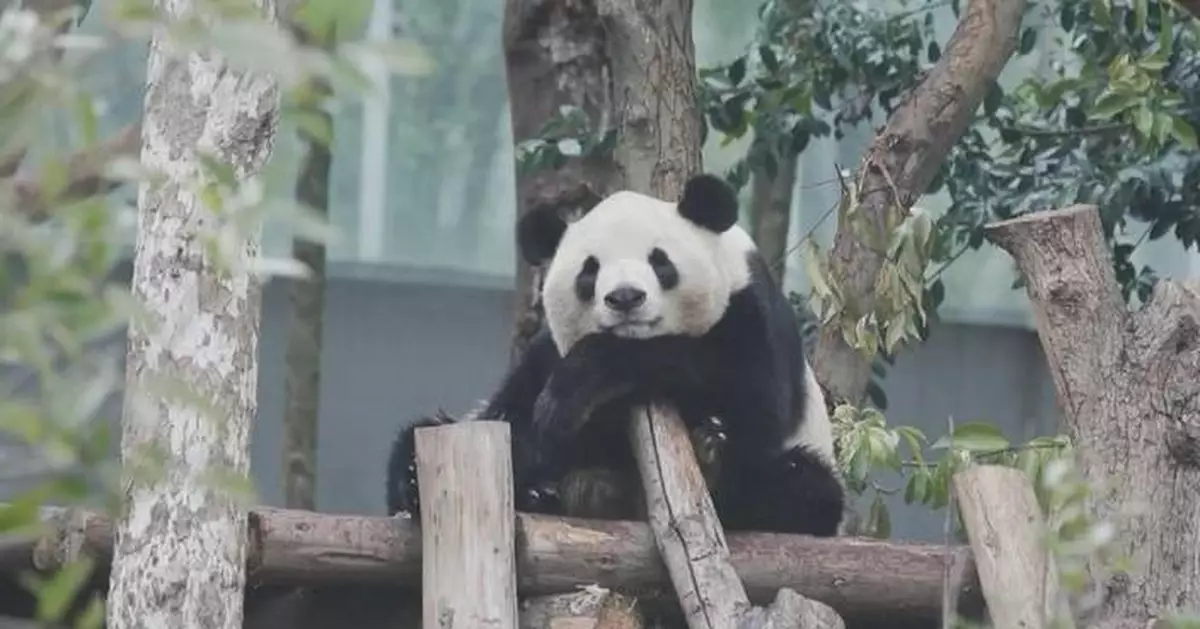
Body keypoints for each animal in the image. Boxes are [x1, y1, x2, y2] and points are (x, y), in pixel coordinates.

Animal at [386, 173, 845, 537]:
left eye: (660, 262)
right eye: (590, 270)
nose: (625, 297)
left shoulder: (750, 312)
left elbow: (749, 399)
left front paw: (577, 387)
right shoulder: (544, 355)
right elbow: (516, 419)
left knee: (804, 488)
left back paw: (710, 458)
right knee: (428, 428)